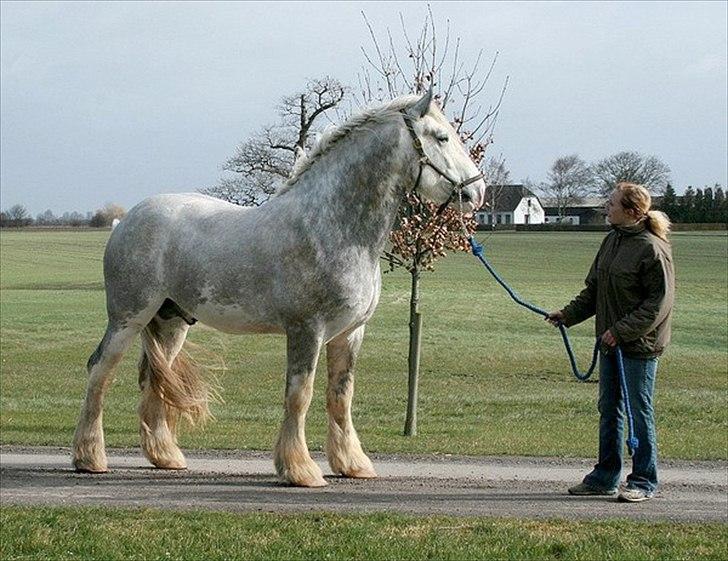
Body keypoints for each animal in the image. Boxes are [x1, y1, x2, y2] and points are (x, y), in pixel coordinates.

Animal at [72, 92, 484, 486]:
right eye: (442, 137)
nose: (476, 192)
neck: (332, 226)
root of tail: (127, 220)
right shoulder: (306, 329)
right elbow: (300, 395)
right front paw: (300, 470)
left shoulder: (350, 333)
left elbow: (341, 396)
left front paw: (352, 465)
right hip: (128, 318)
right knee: (100, 371)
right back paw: (89, 458)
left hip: (170, 323)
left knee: (152, 379)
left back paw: (166, 457)